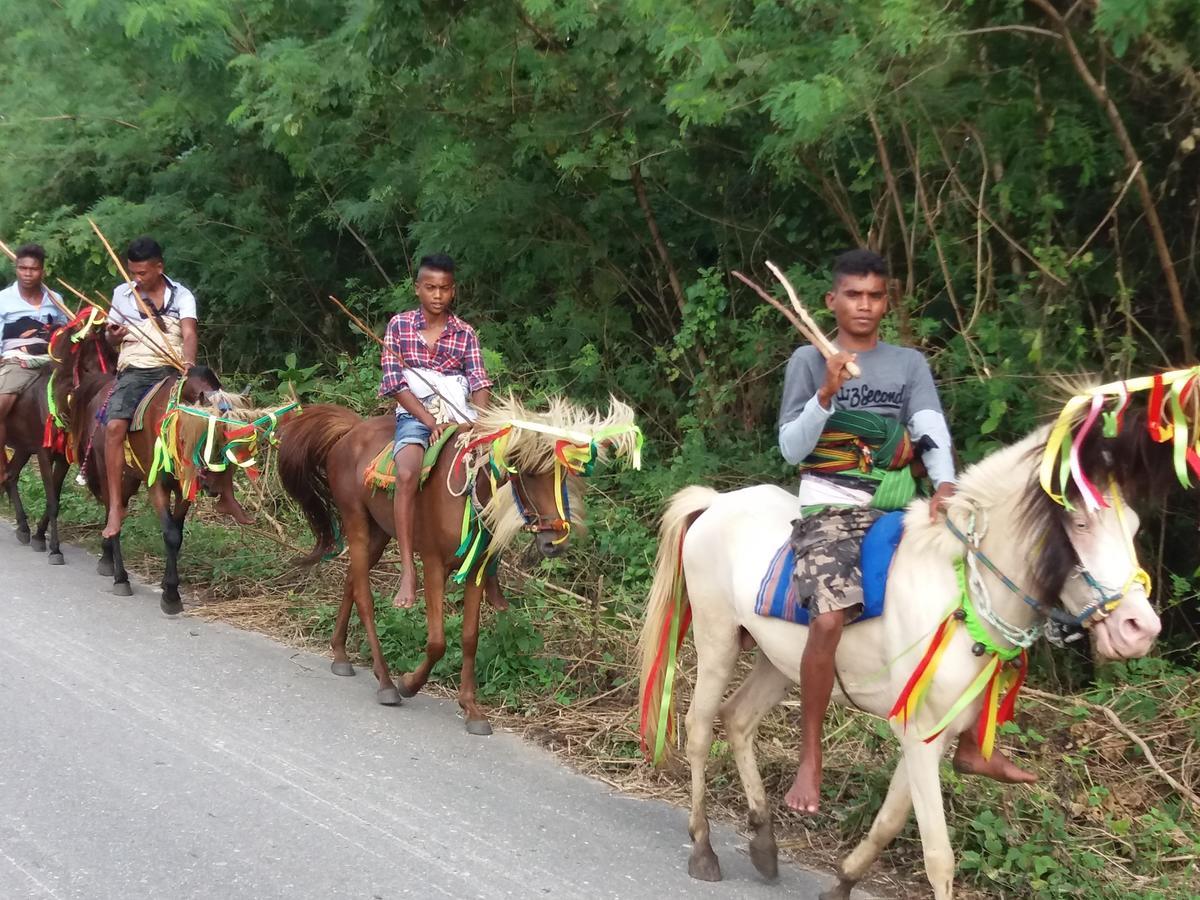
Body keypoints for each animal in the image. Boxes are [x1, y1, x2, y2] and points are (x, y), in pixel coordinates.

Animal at [276, 398, 643, 734]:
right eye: (525, 473)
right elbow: (438, 641)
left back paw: (340, 655)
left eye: (563, 474)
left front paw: (471, 708)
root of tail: (351, 431)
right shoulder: (433, 565)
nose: (555, 542)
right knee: (365, 597)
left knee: (352, 580)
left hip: (379, 532)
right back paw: (386, 682)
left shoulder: (475, 570)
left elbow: (469, 637)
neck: (470, 490)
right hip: (356, 521)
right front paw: (410, 683)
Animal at [638, 429, 1161, 900]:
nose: (1140, 627)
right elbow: (939, 856)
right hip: (717, 640)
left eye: (1136, 526)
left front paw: (843, 883)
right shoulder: (919, 735)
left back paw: (764, 844)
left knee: (739, 720)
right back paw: (704, 848)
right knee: (700, 728)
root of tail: (717, 503)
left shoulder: (933, 735)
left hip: (776, 660)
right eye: (1081, 525)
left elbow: (889, 822)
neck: (960, 593)